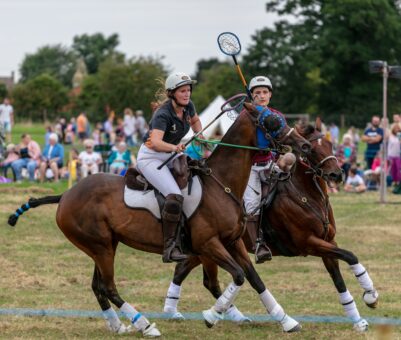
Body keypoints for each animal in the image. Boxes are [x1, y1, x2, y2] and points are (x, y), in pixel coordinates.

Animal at [7, 103, 310, 338]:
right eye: (272, 121)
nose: (305, 145)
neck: (221, 184)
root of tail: (66, 194)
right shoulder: (208, 243)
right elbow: (237, 276)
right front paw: (212, 315)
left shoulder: (232, 241)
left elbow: (254, 278)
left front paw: (287, 321)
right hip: (101, 246)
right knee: (109, 287)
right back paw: (145, 325)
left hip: (104, 244)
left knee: (98, 286)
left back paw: (118, 326)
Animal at [162, 119, 378, 332]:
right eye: (311, 150)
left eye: (330, 145)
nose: (336, 175)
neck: (308, 195)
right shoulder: (309, 243)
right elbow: (350, 255)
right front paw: (370, 296)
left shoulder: (328, 241)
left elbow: (339, 277)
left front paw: (359, 318)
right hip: (209, 247)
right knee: (204, 279)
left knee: (184, 271)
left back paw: (175, 312)